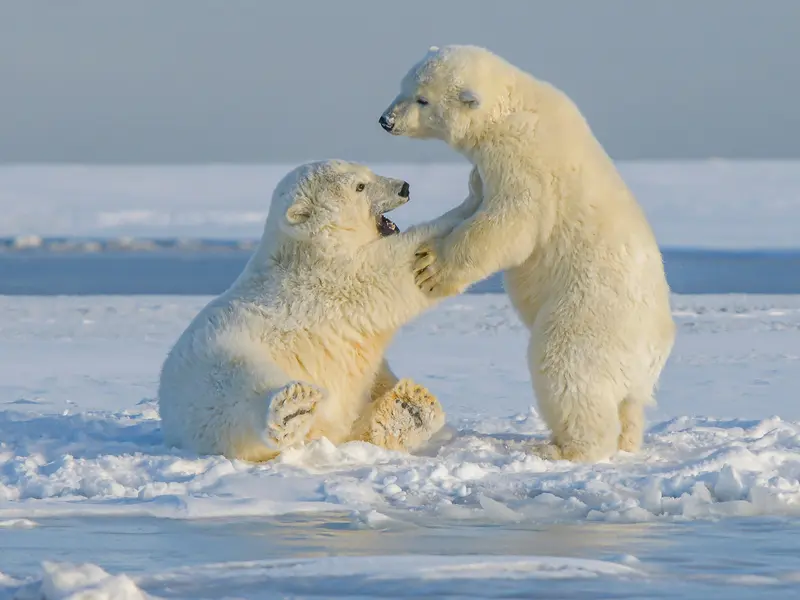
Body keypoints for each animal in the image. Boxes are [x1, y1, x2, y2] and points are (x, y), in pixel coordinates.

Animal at [155, 159, 476, 460]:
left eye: (370, 171)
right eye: (360, 186)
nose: (404, 187)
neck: (307, 248)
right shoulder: (333, 278)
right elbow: (392, 268)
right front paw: (472, 201)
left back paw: (409, 406)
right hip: (218, 361)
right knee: (240, 387)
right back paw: (293, 408)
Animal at [380, 44, 676, 462]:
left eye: (423, 99)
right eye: (404, 86)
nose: (386, 120)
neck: (514, 103)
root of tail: (654, 349)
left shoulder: (524, 158)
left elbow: (511, 221)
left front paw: (431, 267)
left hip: (589, 315)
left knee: (565, 369)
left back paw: (563, 448)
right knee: (628, 404)